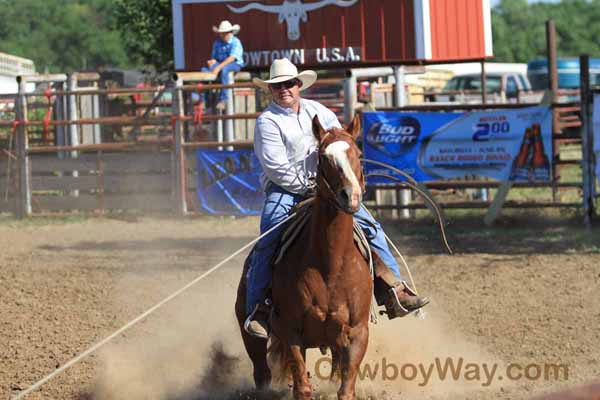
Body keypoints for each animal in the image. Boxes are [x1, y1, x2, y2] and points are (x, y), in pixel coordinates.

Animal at [236, 114, 370, 398]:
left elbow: (345, 388)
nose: (350, 196)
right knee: (261, 371)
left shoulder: (357, 333)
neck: (331, 265)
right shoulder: (290, 331)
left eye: (358, 153)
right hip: (249, 331)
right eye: (323, 156)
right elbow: (302, 387)